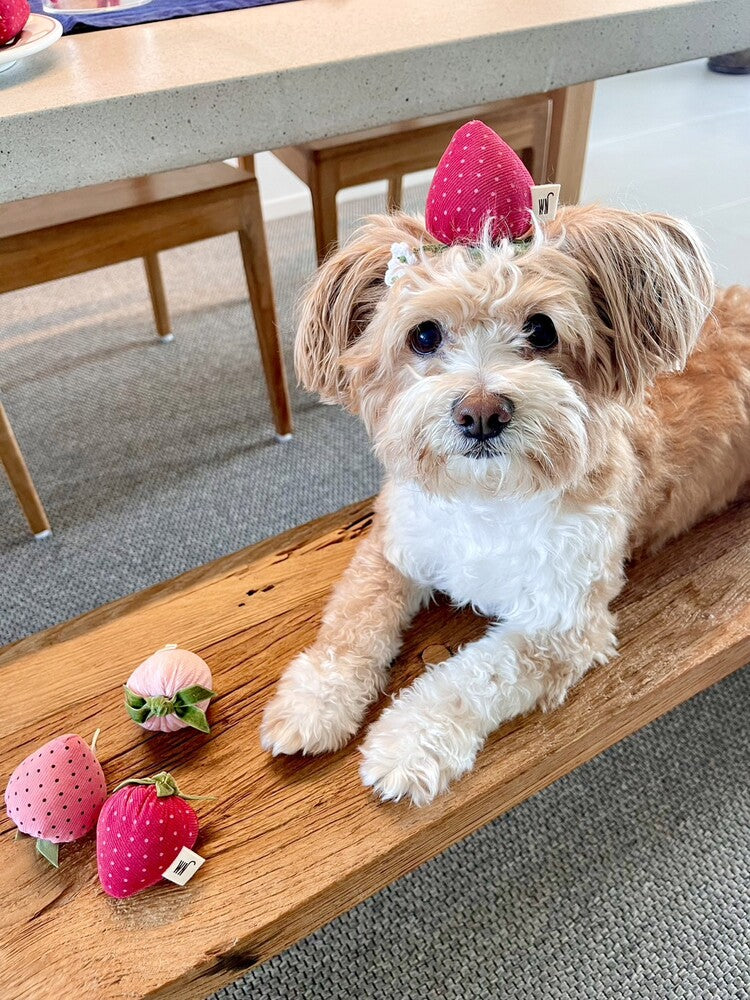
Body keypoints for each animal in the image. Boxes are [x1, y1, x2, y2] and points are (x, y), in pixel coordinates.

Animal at [260, 129, 750, 804]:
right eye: (424, 335)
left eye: (541, 329)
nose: (481, 412)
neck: (487, 498)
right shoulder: (394, 545)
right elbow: (354, 621)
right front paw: (313, 700)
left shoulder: (561, 623)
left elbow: (475, 676)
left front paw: (407, 741)